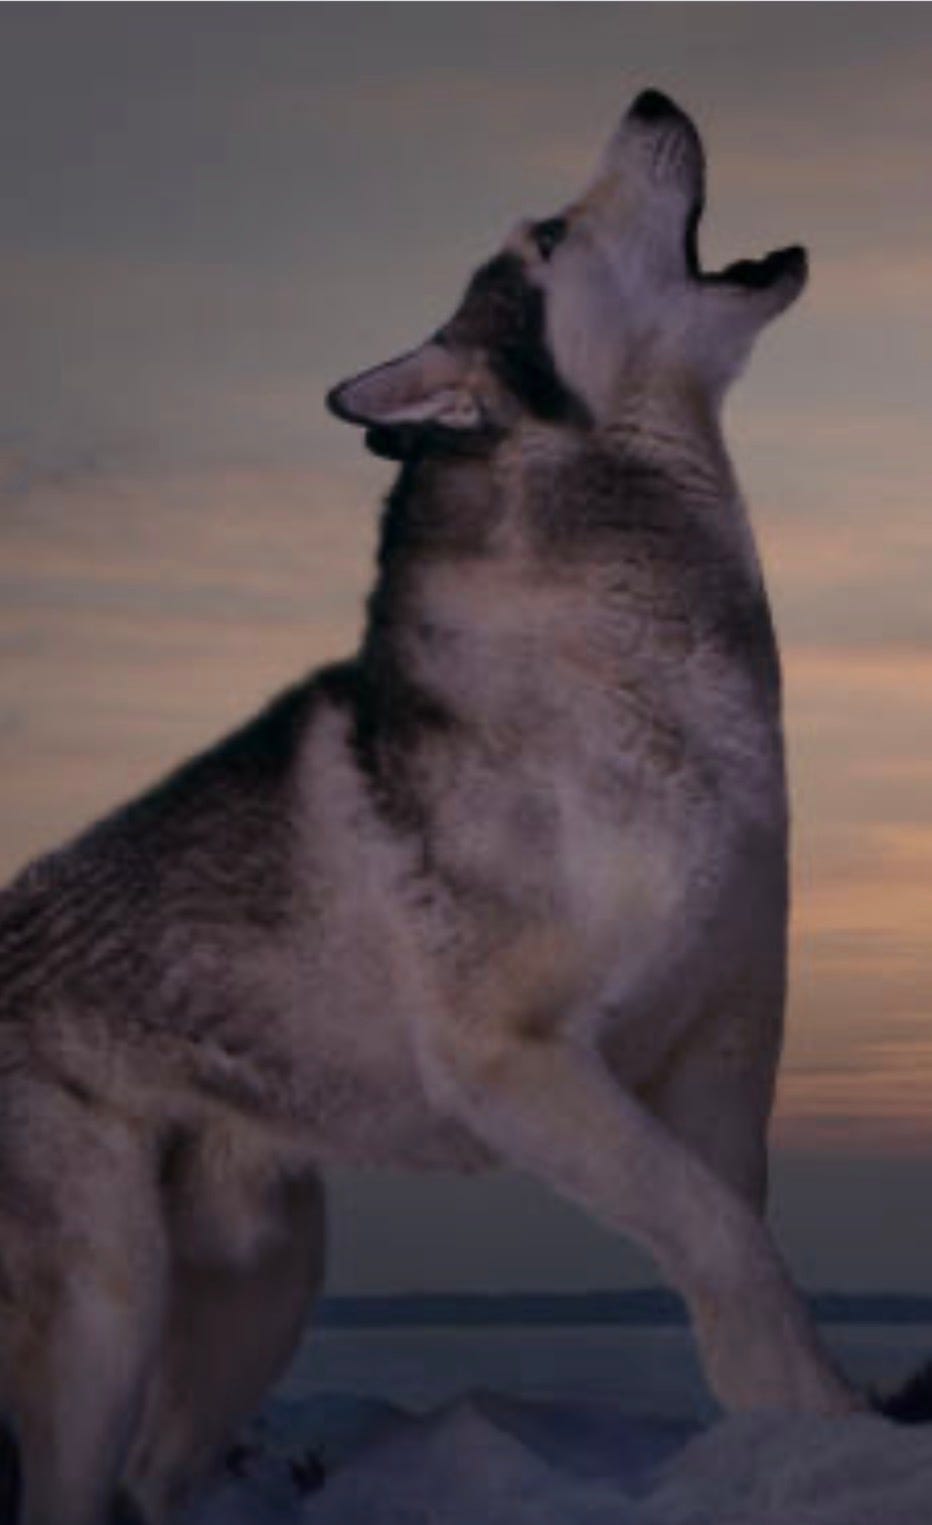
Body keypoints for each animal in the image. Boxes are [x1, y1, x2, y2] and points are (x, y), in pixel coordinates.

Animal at [0, 88, 860, 1524]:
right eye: (551, 235)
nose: (651, 97)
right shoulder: (517, 1062)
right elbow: (723, 1243)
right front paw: (827, 1423)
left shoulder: (725, 1046)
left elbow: (735, 1243)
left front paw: (792, 1431)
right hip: (104, 1314)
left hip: (263, 1284)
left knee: (154, 1476)